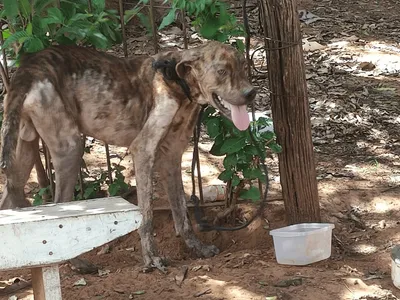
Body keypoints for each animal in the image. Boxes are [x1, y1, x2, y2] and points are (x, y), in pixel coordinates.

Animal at [0, 41, 256, 270]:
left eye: (244, 68)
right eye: (222, 71)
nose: (251, 93)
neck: (177, 81)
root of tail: (29, 67)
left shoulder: (171, 158)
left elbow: (181, 213)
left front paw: (197, 248)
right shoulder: (143, 151)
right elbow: (146, 216)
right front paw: (151, 259)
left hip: (24, 151)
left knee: (8, 201)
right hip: (70, 148)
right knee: (58, 204)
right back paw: (77, 263)